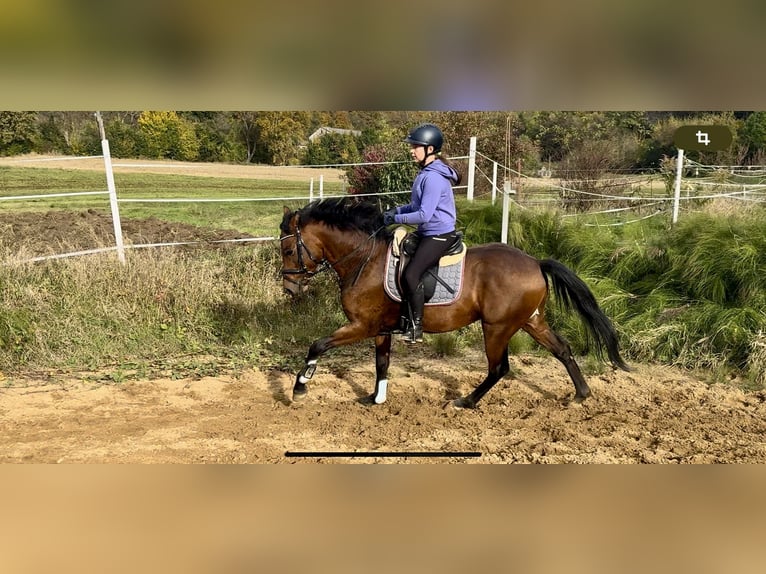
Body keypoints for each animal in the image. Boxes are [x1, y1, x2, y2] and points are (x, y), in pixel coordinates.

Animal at [280, 198, 632, 410]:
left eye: (288, 250)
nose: (289, 288)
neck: (364, 259)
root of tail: (535, 262)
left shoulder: (362, 325)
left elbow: (318, 345)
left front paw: (300, 386)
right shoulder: (381, 328)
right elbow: (382, 363)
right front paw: (375, 398)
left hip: (497, 327)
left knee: (499, 368)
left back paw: (467, 401)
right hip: (531, 321)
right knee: (562, 349)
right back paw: (581, 394)